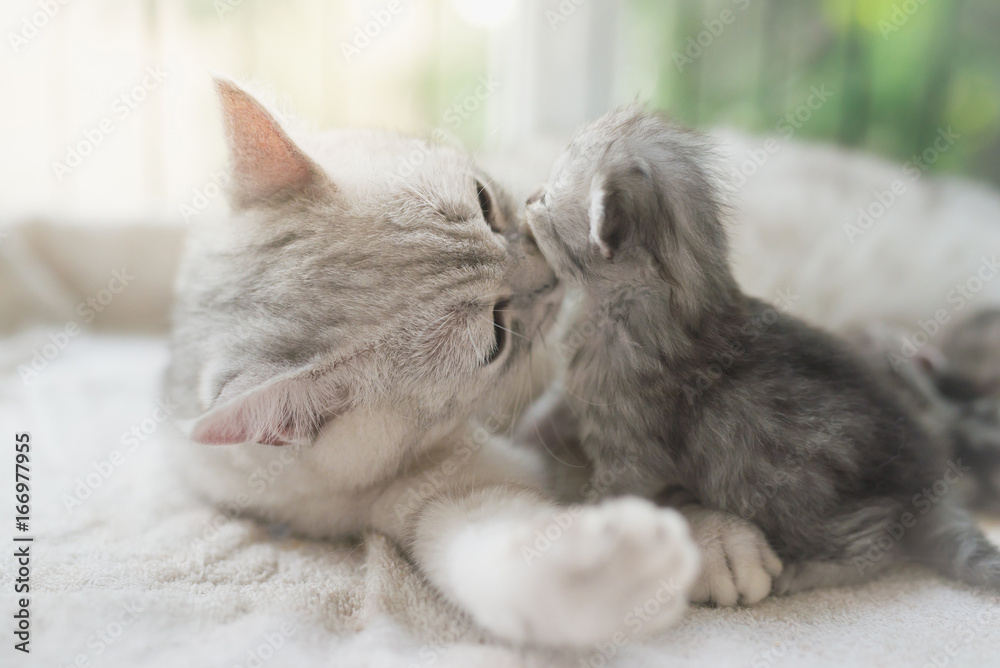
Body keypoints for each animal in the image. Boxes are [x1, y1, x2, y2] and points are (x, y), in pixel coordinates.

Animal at [164, 78, 700, 648]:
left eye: (485, 204)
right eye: (494, 339)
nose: (555, 277)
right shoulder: (437, 500)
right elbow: (515, 570)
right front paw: (635, 567)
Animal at [520, 107, 1000, 604]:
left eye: (548, 200)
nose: (526, 198)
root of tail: (930, 475)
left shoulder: (630, 450)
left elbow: (615, 490)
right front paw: (533, 430)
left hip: (791, 492)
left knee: (876, 542)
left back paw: (810, 571)